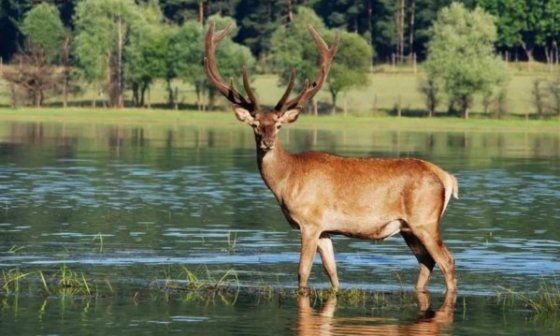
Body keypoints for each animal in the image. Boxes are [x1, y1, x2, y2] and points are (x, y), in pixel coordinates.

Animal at [203, 21, 458, 294]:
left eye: (279, 125)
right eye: (256, 125)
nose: (267, 142)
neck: (287, 179)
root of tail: (446, 178)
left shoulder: (310, 221)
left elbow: (302, 271)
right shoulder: (326, 230)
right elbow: (332, 273)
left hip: (425, 221)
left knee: (447, 261)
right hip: (408, 228)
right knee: (427, 262)